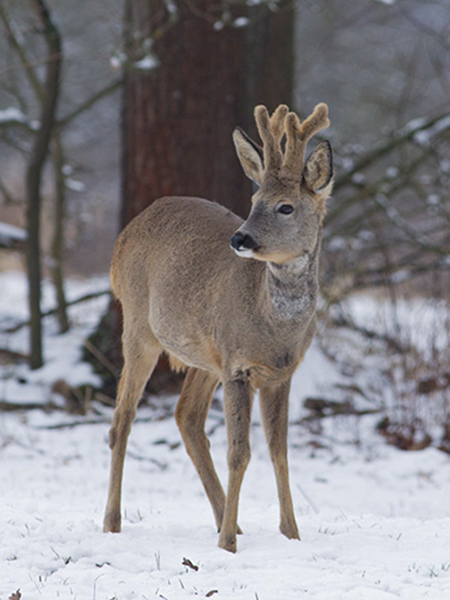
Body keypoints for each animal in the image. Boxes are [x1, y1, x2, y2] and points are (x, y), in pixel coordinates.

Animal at [103, 101, 334, 552]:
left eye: (285, 206)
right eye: (254, 198)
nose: (240, 239)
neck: (274, 328)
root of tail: (123, 237)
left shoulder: (279, 373)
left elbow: (279, 451)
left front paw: (291, 534)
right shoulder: (238, 367)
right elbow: (240, 452)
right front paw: (228, 545)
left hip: (205, 356)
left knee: (186, 416)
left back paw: (228, 518)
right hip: (139, 327)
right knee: (122, 418)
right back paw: (112, 522)